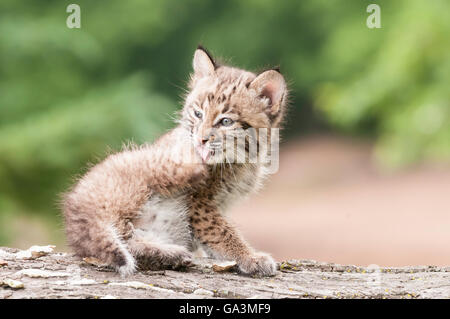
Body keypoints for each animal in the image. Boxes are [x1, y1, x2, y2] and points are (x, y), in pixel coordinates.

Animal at [61, 45, 288, 278]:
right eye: (198, 114)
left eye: (226, 121)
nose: (200, 140)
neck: (242, 160)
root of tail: (75, 213)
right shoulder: (201, 205)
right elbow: (222, 232)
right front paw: (251, 257)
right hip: (137, 169)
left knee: (126, 242)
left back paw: (172, 254)